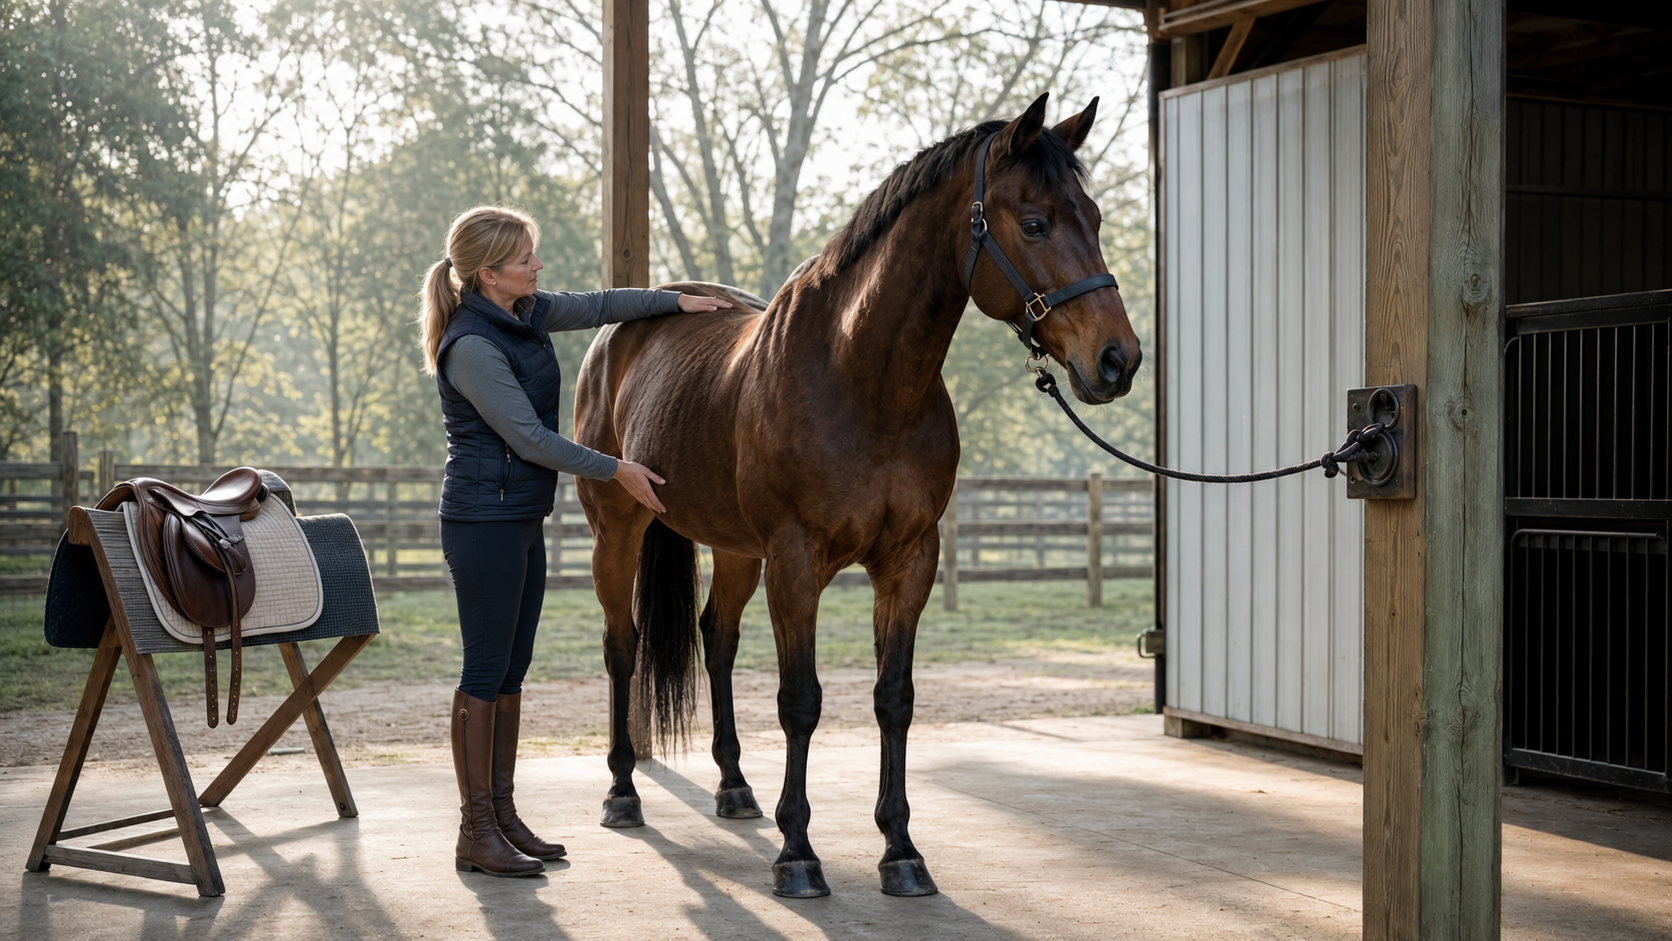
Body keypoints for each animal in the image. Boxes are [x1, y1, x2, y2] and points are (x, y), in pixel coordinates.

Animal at [573, 92, 1142, 899]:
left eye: (1091, 217)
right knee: (621, 646)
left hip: (736, 547)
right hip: (617, 531)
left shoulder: (908, 560)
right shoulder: (796, 560)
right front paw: (798, 854)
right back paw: (623, 792)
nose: (1118, 359)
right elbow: (800, 700)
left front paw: (900, 849)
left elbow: (893, 698)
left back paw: (734, 787)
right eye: (1034, 222)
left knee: (717, 638)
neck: (862, 378)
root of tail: (621, 334)